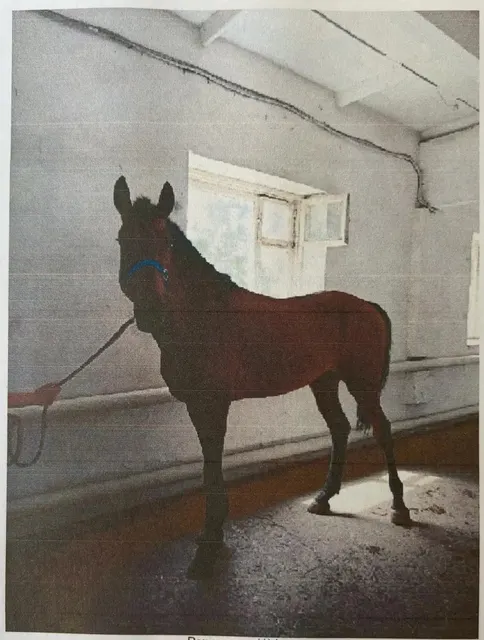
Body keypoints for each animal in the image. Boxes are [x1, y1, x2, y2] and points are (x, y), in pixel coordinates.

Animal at [113, 176, 411, 578]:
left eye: (167, 243)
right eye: (122, 239)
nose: (150, 309)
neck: (202, 315)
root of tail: (367, 306)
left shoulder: (213, 404)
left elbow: (211, 468)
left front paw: (210, 541)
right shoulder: (198, 405)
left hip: (361, 385)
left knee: (383, 430)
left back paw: (399, 506)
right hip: (324, 382)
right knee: (340, 428)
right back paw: (323, 498)